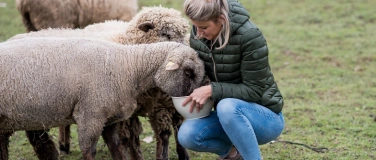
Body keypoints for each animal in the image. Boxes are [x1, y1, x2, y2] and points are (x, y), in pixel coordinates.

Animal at [8, 5, 191, 160]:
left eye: (184, 33)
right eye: (166, 34)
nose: (188, 53)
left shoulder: (162, 104)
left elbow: (168, 133)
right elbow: (134, 138)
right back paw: (62, 147)